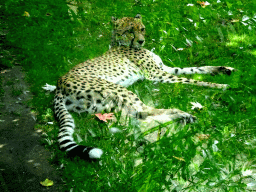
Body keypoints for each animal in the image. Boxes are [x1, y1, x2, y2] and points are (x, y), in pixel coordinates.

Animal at [54, 14, 234, 160]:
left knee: (136, 116)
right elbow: (190, 80)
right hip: (118, 90)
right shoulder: (156, 74)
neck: (120, 43)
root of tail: (58, 84)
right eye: (129, 31)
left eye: (142, 29)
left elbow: (195, 69)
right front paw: (222, 86)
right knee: (144, 111)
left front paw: (223, 69)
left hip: (107, 103)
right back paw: (182, 115)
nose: (141, 41)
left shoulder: (164, 69)